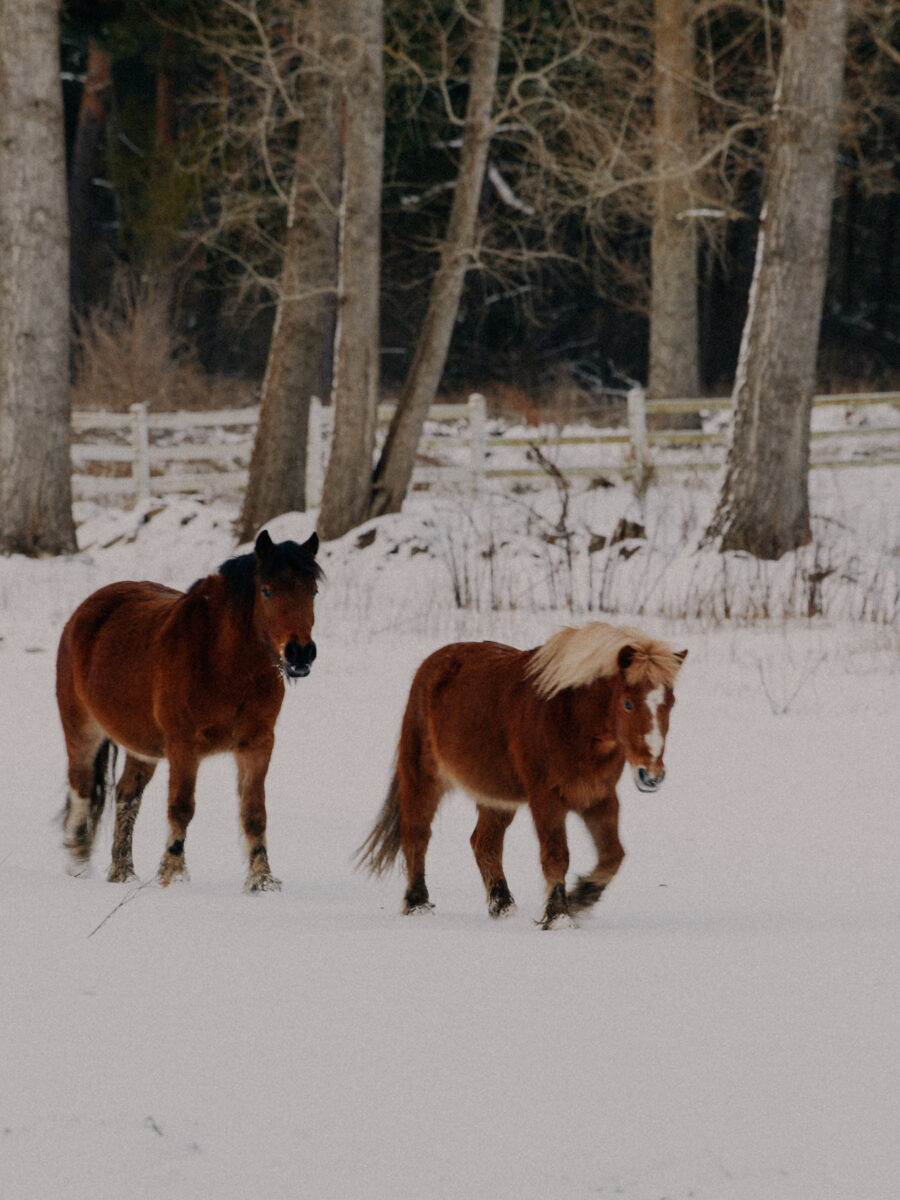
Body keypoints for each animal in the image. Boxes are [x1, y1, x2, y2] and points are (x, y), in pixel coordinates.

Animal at [56, 532, 324, 892]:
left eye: (313, 591)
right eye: (267, 590)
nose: (300, 653)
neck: (222, 659)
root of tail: (84, 612)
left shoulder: (257, 745)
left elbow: (255, 813)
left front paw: (262, 881)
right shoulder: (184, 746)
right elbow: (181, 808)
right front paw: (173, 874)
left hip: (141, 747)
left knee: (126, 796)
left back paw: (122, 872)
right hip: (81, 730)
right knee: (82, 788)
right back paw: (78, 864)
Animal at [355, 624, 686, 931]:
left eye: (670, 704)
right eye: (628, 703)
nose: (651, 776)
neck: (571, 719)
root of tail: (431, 664)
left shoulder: (599, 797)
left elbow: (613, 855)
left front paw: (581, 898)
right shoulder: (546, 799)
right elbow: (556, 856)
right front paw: (558, 916)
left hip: (496, 796)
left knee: (484, 843)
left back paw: (502, 905)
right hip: (423, 777)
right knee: (417, 834)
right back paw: (418, 903)